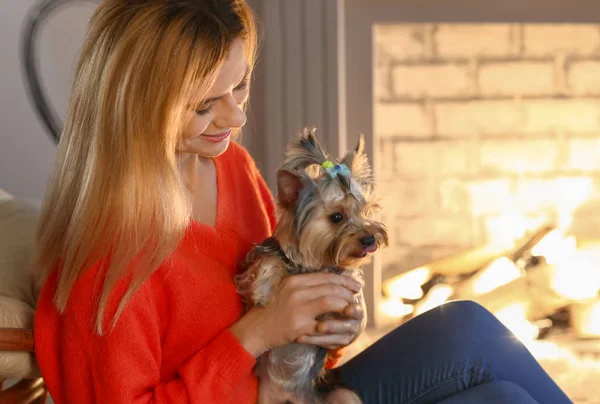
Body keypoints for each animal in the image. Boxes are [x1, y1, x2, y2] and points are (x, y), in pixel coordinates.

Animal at [236, 129, 390, 404]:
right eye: (336, 217)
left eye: (365, 212)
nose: (370, 239)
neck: (316, 264)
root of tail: (290, 395)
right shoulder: (253, 266)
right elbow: (270, 262)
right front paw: (263, 289)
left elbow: (348, 280)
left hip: (341, 395)